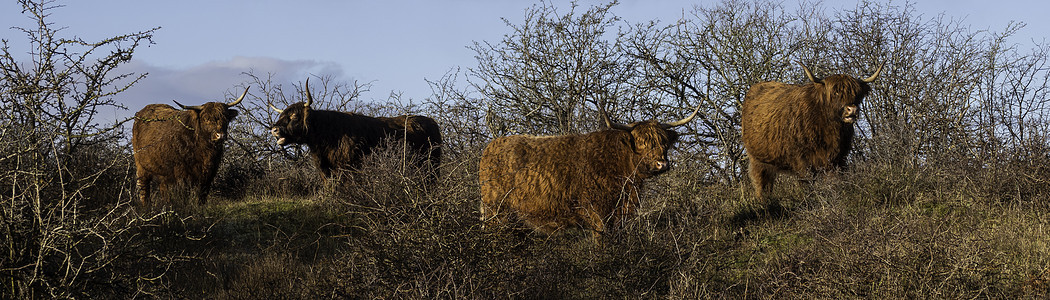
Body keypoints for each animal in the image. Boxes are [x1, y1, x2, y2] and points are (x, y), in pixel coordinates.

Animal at [270, 78, 443, 179]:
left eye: (294, 117)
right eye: (282, 115)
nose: (274, 129)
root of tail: (432, 122)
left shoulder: (349, 168)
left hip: (431, 167)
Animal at [480, 104, 701, 238]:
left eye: (664, 143)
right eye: (641, 143)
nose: (661, 164)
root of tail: (491, 146)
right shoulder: (599, 215)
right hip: (496, 212)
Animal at [743, 60, 881, 201]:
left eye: (856, 94)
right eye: (835, 93)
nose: (852, 109)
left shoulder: (838, 160)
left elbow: (835, 183)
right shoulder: (802, 161)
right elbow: (806, 186)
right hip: (758, 160)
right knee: (762, 185)